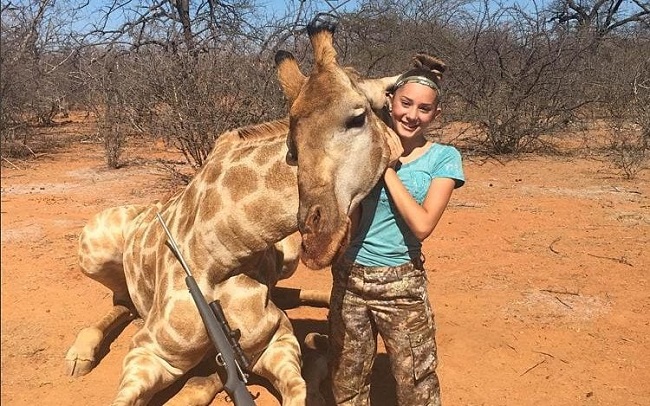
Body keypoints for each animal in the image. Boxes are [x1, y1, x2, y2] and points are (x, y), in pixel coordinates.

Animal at [64, 14, 402, 406]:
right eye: (293, 144)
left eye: (358, 117)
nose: (317, 238)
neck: (221, 252)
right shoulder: (150, 352)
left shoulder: (275, 341)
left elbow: (297, 387)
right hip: (92, 248)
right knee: (120, 301)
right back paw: (79, 354)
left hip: (287, 259)